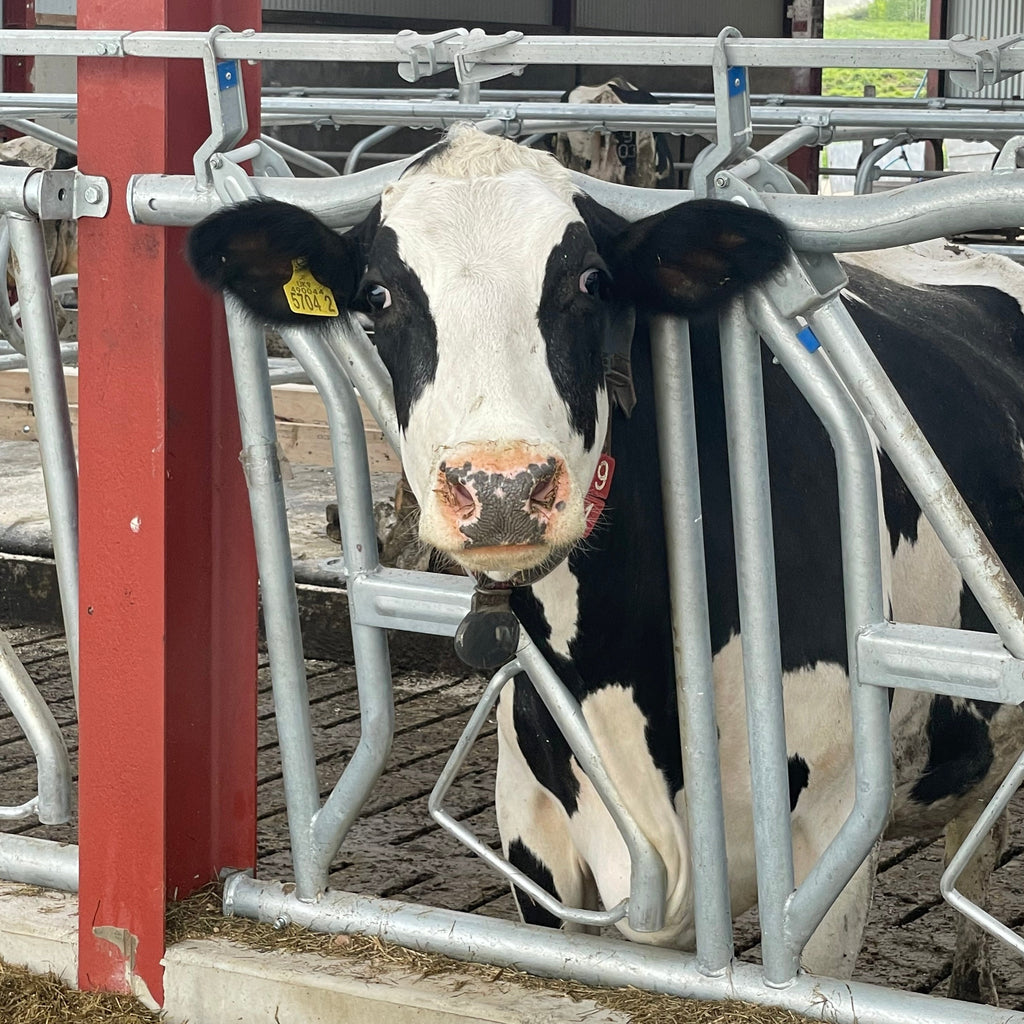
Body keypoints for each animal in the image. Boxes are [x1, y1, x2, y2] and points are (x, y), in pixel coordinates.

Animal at [186, 124, 1024, 1004]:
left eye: (589, 281)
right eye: (377, 297)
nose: (503, 485)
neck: (624, 670)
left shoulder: (828, 850)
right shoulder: (537, 836)